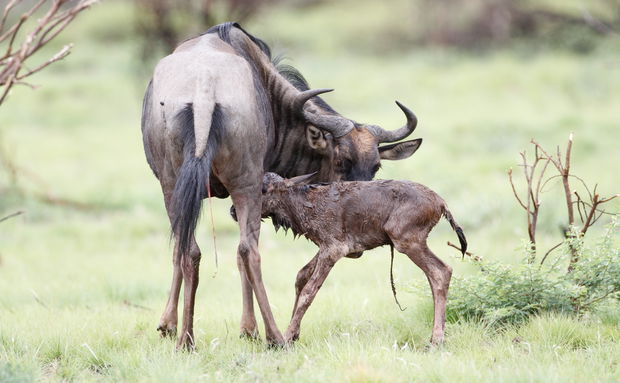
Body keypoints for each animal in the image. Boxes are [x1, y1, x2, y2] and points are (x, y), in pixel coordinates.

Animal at [253, 172, 464, 344]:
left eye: (263, 190)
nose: (241, 211)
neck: (302, 207)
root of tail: (441, 204)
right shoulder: (328, 247)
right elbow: (301, 276)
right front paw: (294, 334)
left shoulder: (335, 248)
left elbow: (309, 291)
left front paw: (285, 338)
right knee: (434, 276)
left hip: (406, 240)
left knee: (441, 271)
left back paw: (437, 339)